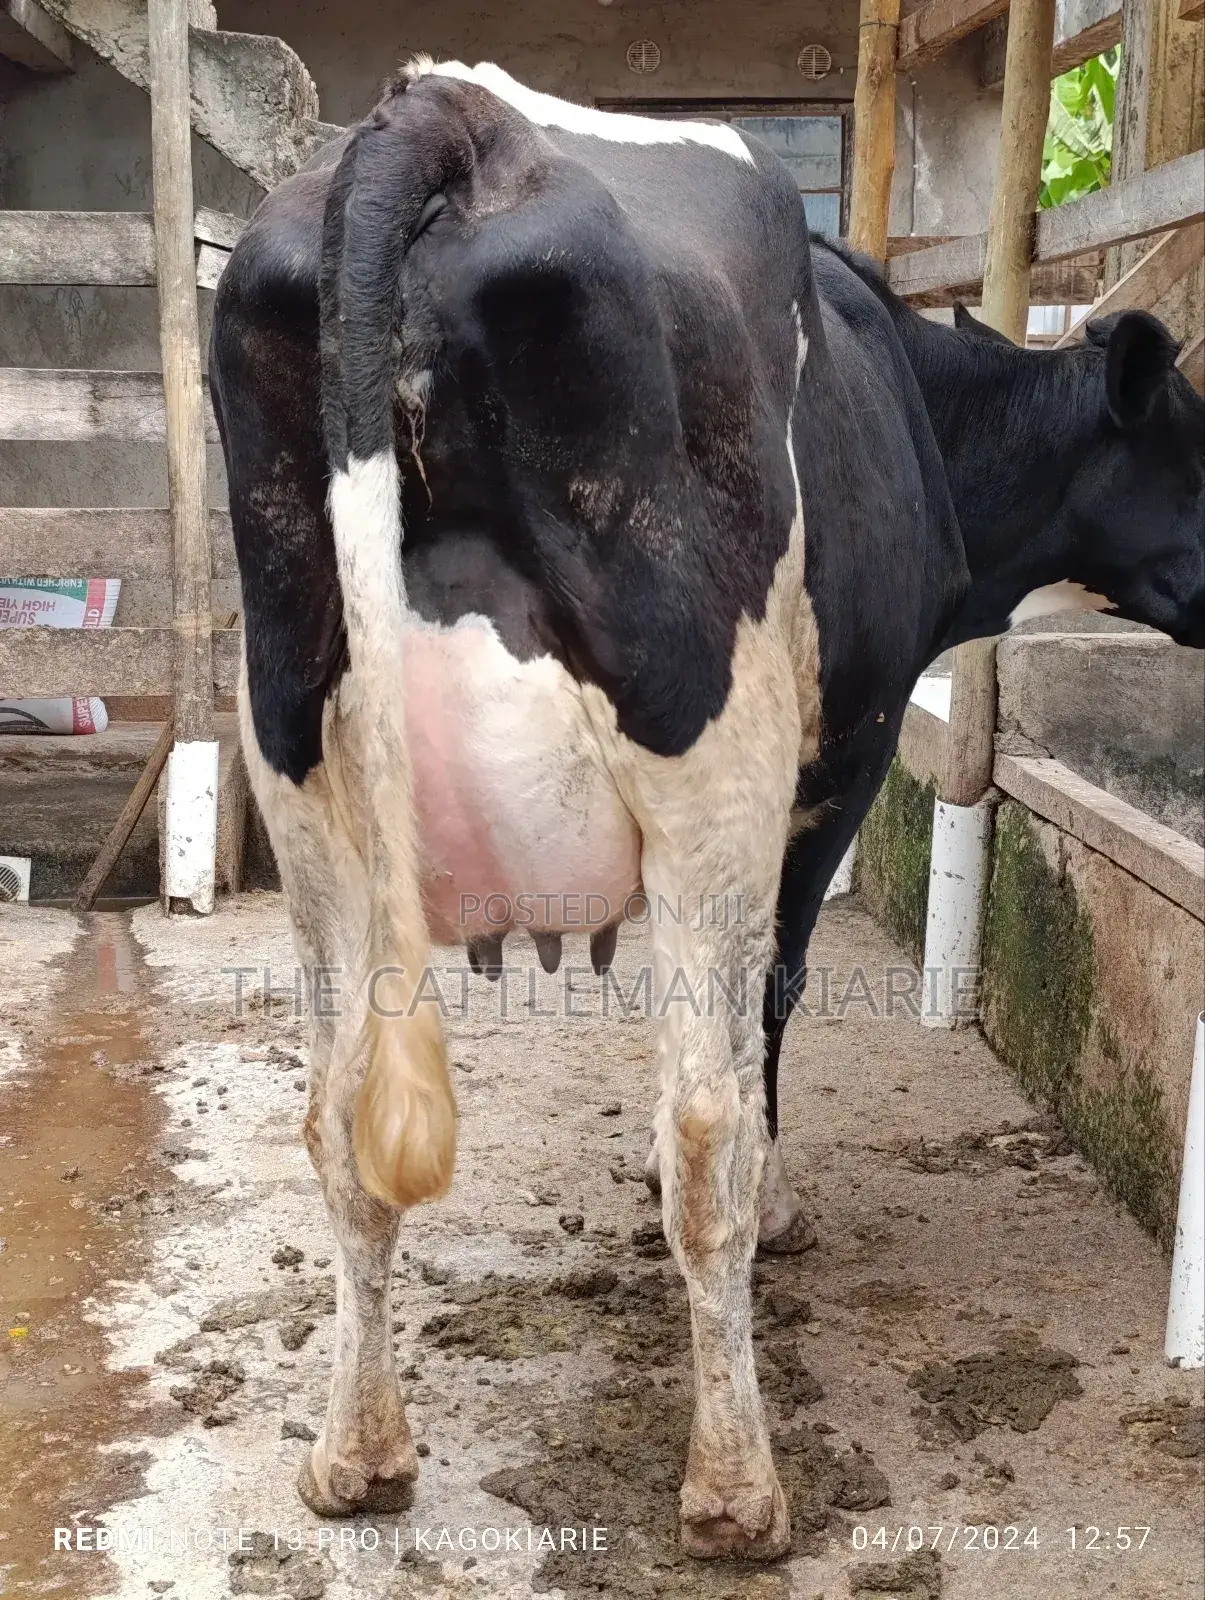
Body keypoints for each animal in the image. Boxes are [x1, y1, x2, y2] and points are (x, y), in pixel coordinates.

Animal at [210, 59, 1205, 1561]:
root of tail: (451, 113)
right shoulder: (842, 752)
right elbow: (768, 1014)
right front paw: (781, 1208)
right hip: (710, 753)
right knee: (701, 1125)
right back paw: (736, 1489)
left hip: (300, 762)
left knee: (338, 1119)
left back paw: (354, 1457)